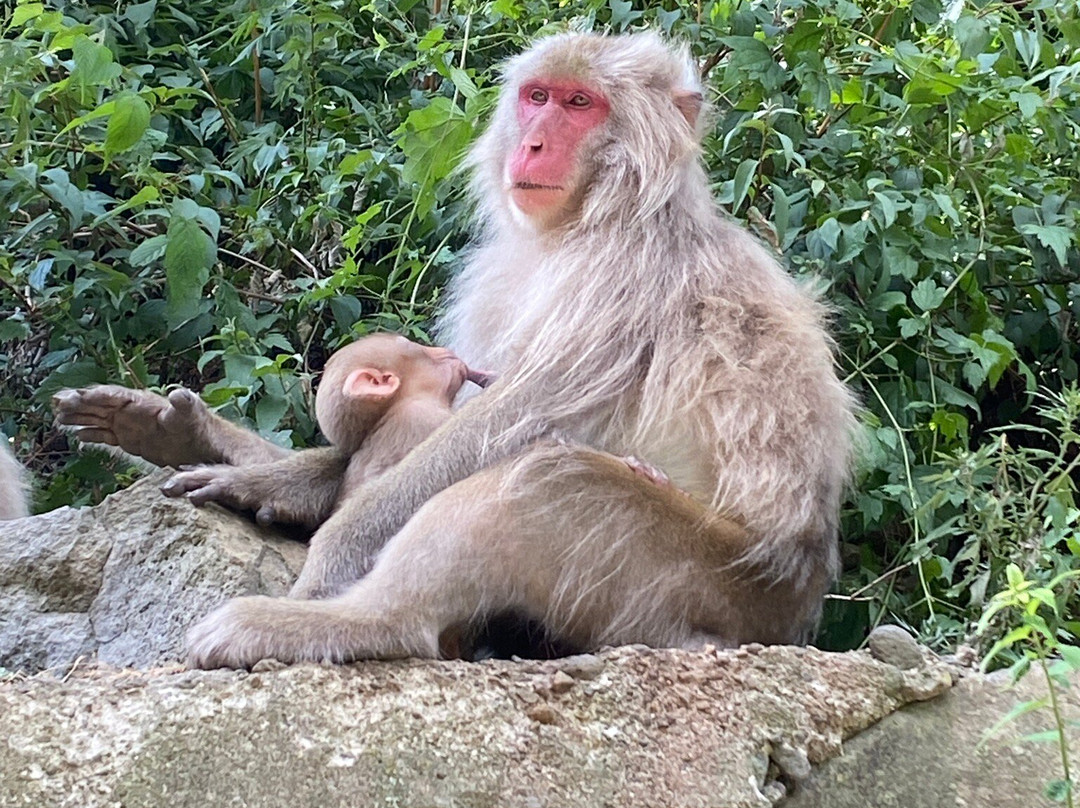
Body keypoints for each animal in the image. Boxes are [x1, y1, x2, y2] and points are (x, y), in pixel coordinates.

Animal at [56, 32, 857, 669]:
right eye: (538, 97)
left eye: (581, 105)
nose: (533, 142)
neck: (594, 217)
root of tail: (797, 612)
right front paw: (247, 470)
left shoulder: (623, 280)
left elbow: (507, 424)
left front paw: (331, 551)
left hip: (709, 590)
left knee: (546, 479)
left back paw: (351, 623)